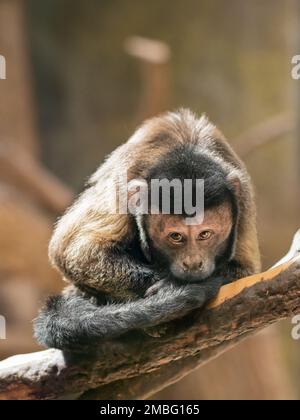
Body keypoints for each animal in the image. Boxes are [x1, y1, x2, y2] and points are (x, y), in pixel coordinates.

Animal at [34, 108, 260, 348]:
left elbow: (246, 271)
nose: (192, 262)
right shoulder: (124, 183)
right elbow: (72, 251)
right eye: (176, 236)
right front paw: (171, 291)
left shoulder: (242, 197)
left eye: (205, 234)